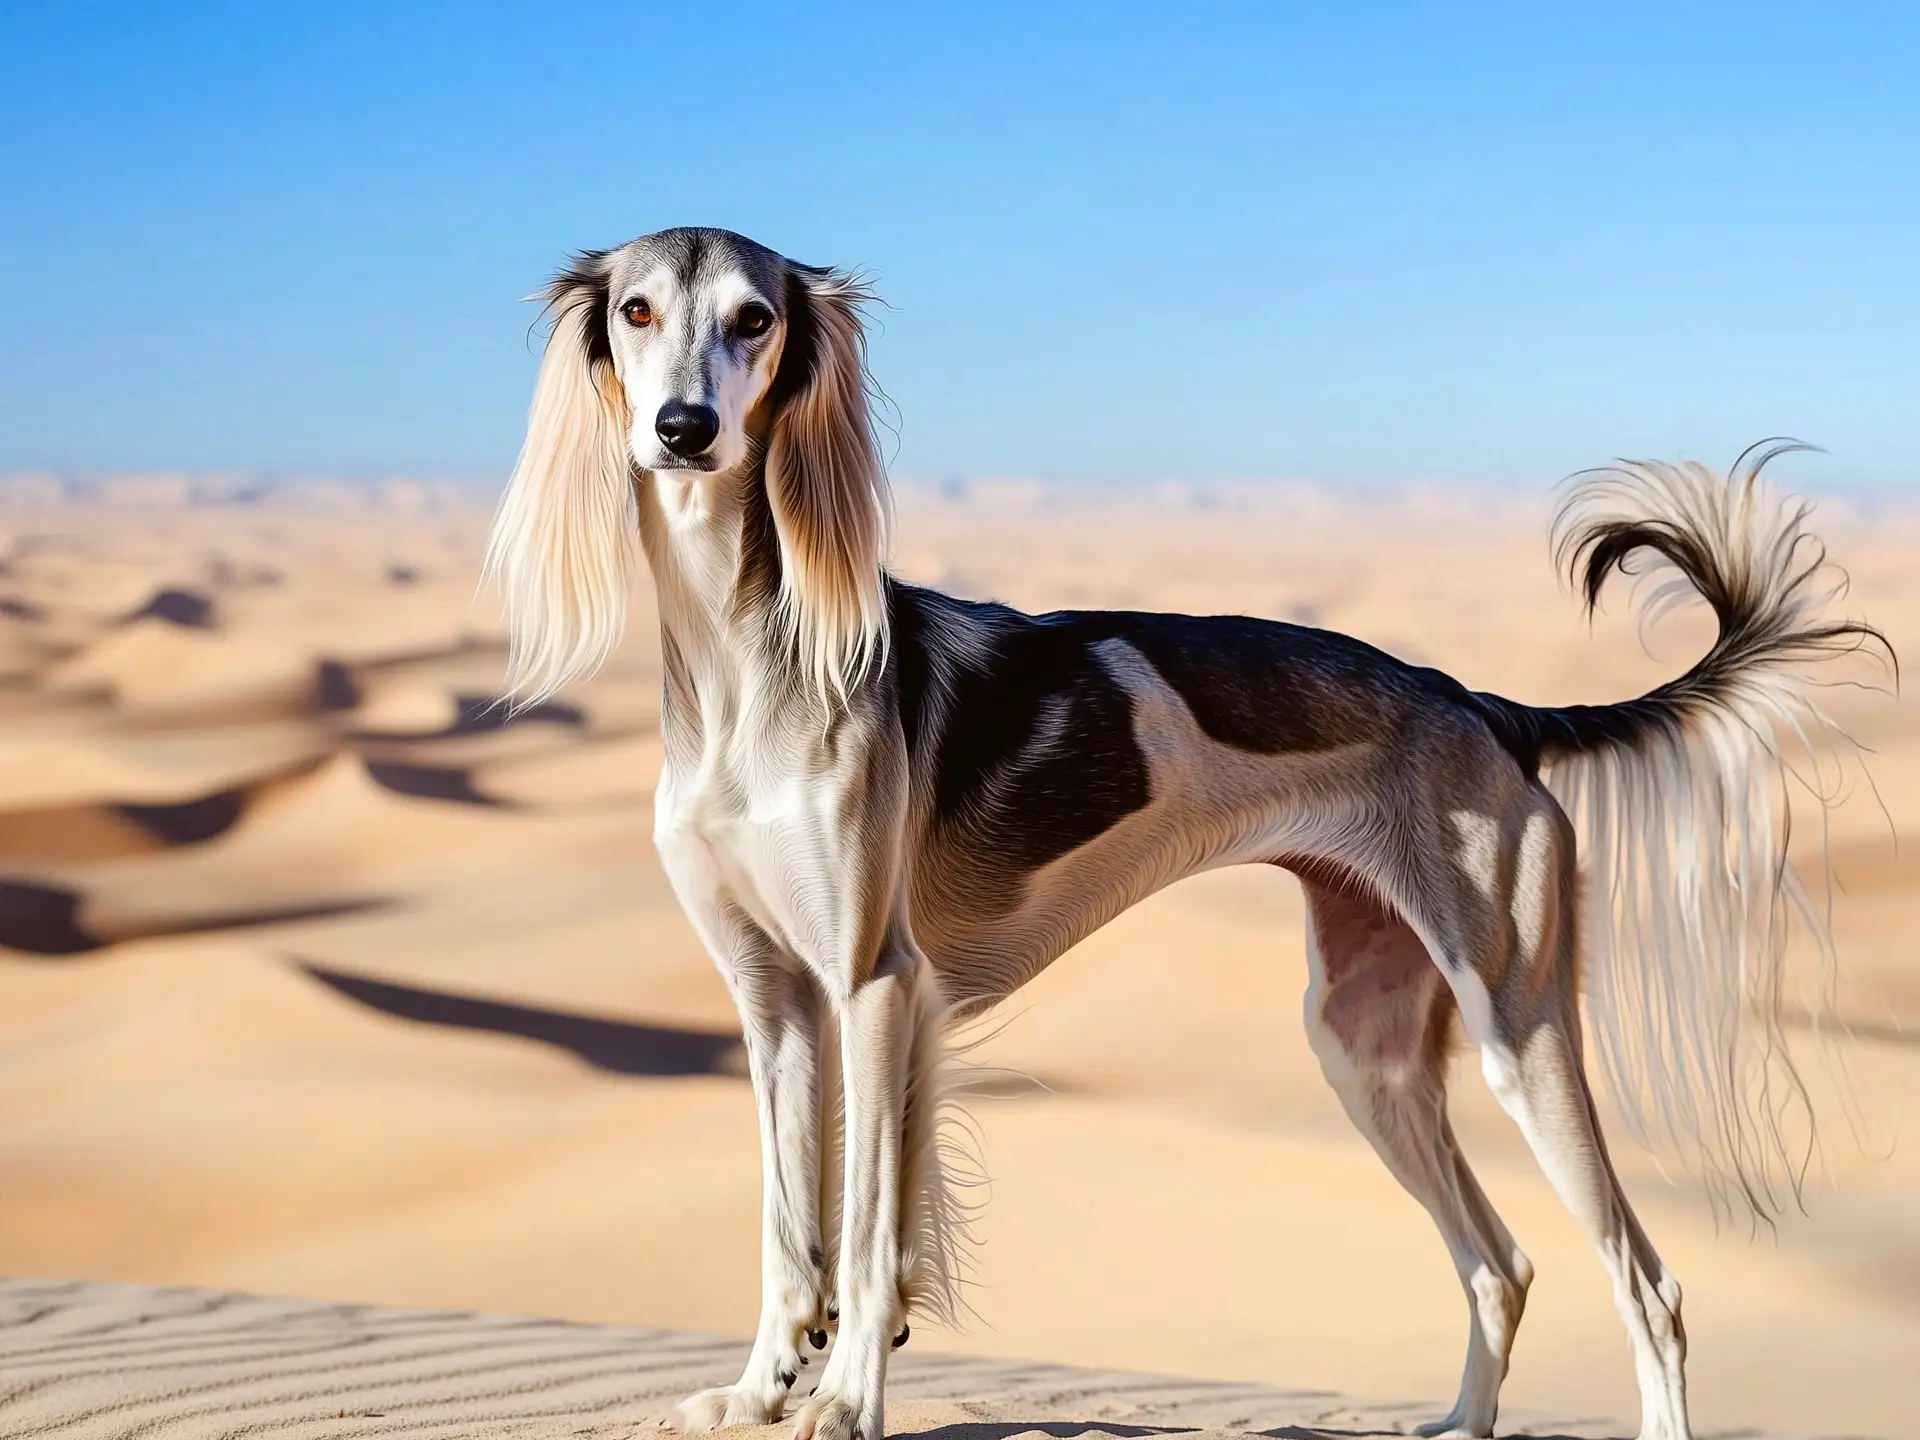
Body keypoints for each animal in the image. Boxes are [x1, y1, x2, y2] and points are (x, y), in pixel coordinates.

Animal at [487, 228, 1881, 1440]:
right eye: (637, 311)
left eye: (755, 320)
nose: (684, 429)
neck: (742, 669)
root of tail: (1483, 705)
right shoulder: (773, 999)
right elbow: (792, 1233)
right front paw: (763, 1387)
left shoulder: (872, 983)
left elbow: (871, 1232)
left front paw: (843, 1401)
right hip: (1365, 1049)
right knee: (1502, 1263)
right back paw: (1460, 1424)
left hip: (1518, 1026)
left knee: (1648, 1282)